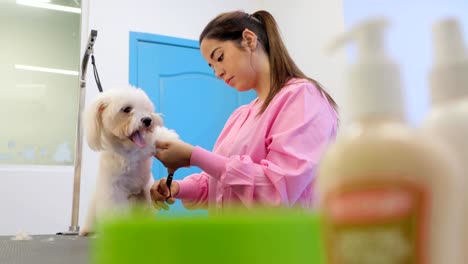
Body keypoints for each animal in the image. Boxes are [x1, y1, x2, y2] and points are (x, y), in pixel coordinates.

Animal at [80, 86, 177, 235]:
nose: (148, 120)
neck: (129, 150)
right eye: (126, 109)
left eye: (145, 108)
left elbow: (158, 137)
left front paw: (171, 139)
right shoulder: (114, 192)